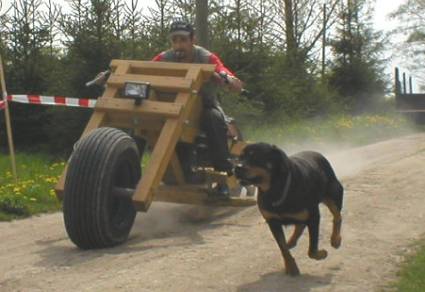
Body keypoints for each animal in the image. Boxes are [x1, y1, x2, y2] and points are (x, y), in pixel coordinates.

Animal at [234, 143, 342, 274]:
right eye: (240, 157)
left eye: (256, 157)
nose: (237, 167)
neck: (275, 189)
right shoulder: (272, 222)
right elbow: (283, 247)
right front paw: (291, 266)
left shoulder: (313, 217)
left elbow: (312, 250)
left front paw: (321, 254)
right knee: (300, 225)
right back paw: (291, 241)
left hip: (333, 194)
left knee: (337, 216)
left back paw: (336, 239)